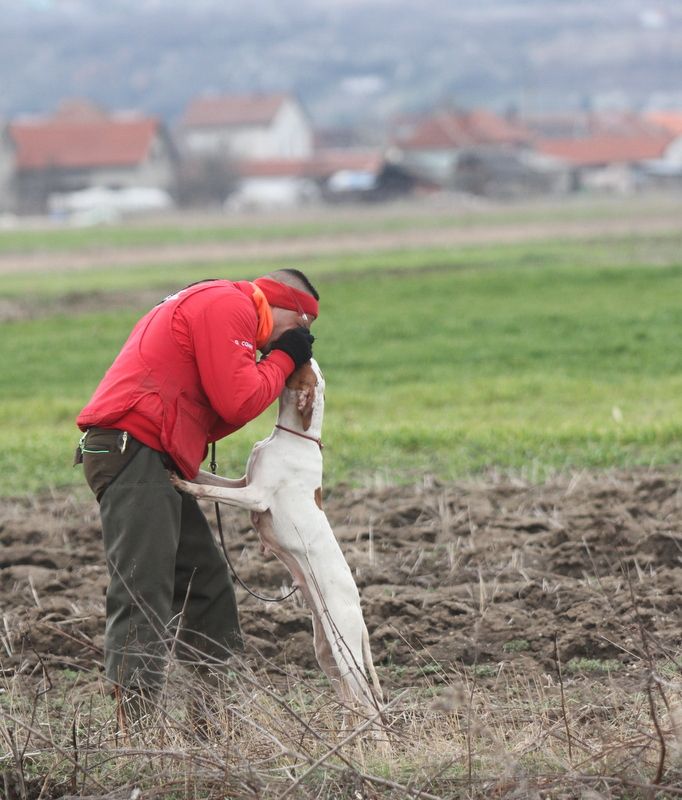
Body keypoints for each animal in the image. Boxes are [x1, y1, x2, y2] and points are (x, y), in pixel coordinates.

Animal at [170, 360, 382, 716]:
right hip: (326, 652)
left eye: (305, 366)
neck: (294, 437)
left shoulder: (255, 496)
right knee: (350, 701)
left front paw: (182, 483)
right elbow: (210, 480)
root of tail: (361, 614)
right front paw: (183, 465)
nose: (307, 349)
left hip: (346, 651)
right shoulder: (242, 482)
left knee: (369, 705)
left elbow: (208, 490)